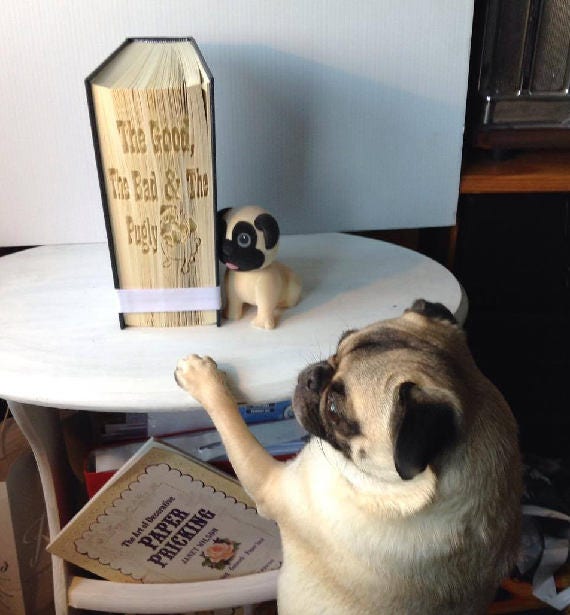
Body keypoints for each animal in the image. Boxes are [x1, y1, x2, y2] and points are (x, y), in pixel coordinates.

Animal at [175, 300, 522, 614]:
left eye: (334, 409)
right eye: (339, 343)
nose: (313, 377)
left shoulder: (268, 484)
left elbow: (229, 419)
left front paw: (201, 377)